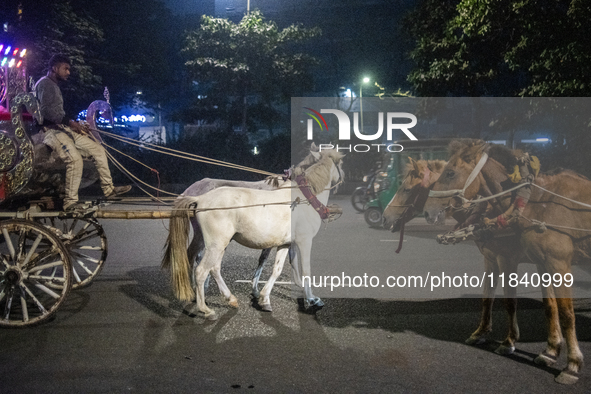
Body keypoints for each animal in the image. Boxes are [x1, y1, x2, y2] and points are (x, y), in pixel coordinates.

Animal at [162, 149, 344, 318]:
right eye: (341, 164)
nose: (343, 179)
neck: (305, 197)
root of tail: (201, 198)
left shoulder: (285, 243)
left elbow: (277, 269)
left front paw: (264, 298)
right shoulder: (304, 241)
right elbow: (306, 270)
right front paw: (311, 299)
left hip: (220, 243)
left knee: (213, 267)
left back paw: (228, 298)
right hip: (215, 244)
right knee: (201, 269)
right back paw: (204, 308)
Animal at [384, 155, 524, 358]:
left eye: (406, 189)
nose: (384, 217)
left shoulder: (507, 259)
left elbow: (510, 299)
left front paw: (510, 340)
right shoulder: (490, 257)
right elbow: (487, 294)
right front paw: (480, 333)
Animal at [426, 139, 588, 384]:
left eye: (450, 172)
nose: (427, 212)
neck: (537, 203)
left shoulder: (550, 263)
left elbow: (564, 313)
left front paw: (572, 364)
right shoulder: (535, 262)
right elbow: (546, 306)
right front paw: (550, 352)